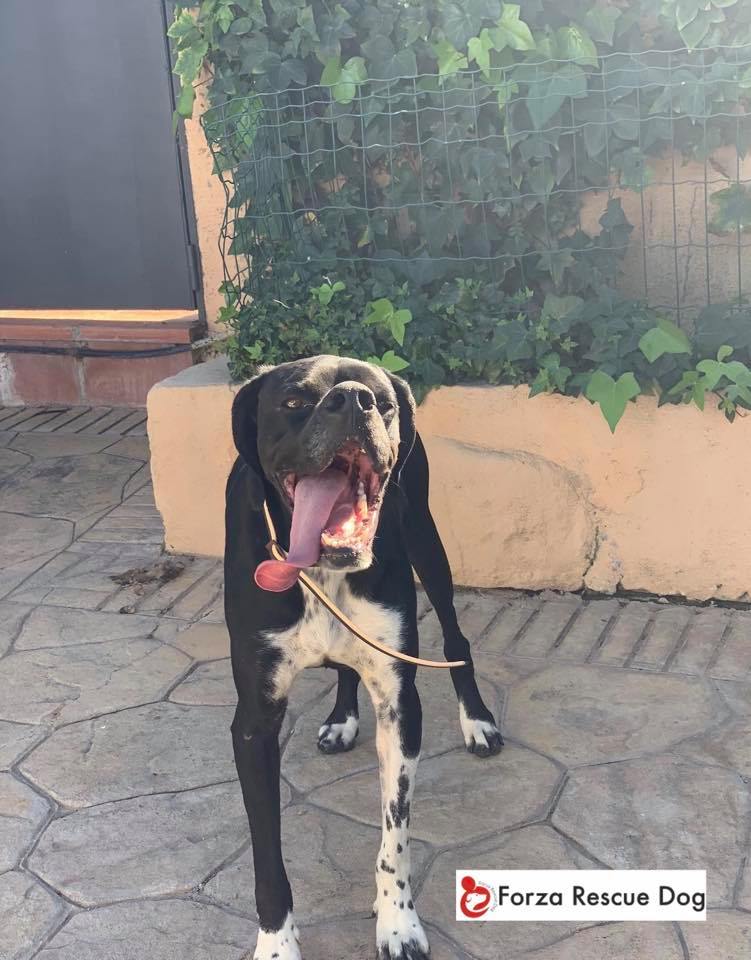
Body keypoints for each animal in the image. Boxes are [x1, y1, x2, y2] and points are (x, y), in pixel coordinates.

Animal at [224, 355, 503, 960]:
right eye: (293, 401)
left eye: (385, 402)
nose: (354, 400)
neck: (321, 567)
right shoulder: (254, 723)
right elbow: (266, 860)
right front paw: (276, 943)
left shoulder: (400, 704)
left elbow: (394, 838)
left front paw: (397, 922)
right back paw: (342, 718)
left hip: (427, 541)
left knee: (456, 639)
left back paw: (477, 719)